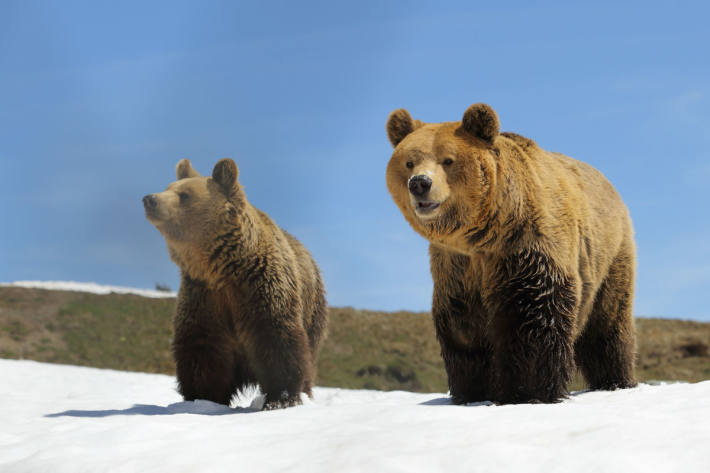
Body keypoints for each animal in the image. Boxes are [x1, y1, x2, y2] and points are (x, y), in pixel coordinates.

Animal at [145, 157, 328, 408]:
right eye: (167, 187)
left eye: (184, 195)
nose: (150, 199)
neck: (222, 269)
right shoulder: (203, 297)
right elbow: (202, 351)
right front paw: (202, 397)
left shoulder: (261, 287)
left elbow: (277, 340)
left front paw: (280, 399)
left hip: (313, 309)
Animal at [390, 105, 640, 404]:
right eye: (409, 162)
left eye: (448, 160)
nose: (419, 183)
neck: (483, 237)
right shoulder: (456, 270)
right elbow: (464, 331)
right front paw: (471, 391)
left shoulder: (526, 251)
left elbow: (532, 317)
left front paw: (528, 391)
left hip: (610, 253)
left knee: (608, 322)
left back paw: (615, 380)